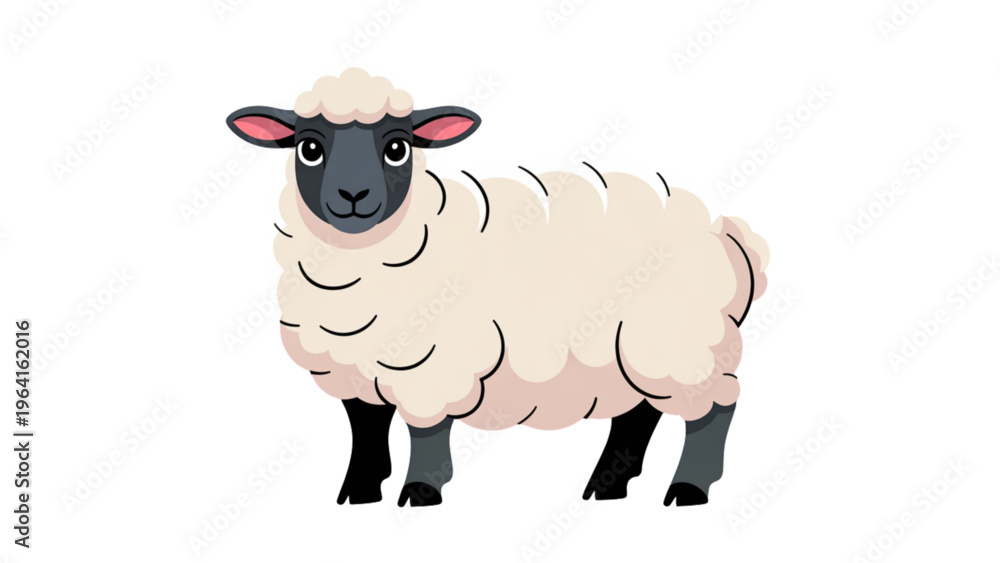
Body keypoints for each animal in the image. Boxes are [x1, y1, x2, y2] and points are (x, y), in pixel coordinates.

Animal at [226, 68, 770, 508]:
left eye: (397, 148)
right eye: (309, 148)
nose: (353, 196)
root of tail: (724, 232)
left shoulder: (434, 364)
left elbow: (426, 432)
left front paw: (421, 491)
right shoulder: (352, 367)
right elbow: (366, 432)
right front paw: (359, 493)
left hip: (682, 344)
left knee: (714, 409)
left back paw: (689, 488)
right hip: (631, 354)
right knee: (638, 415)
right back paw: (608, 487)